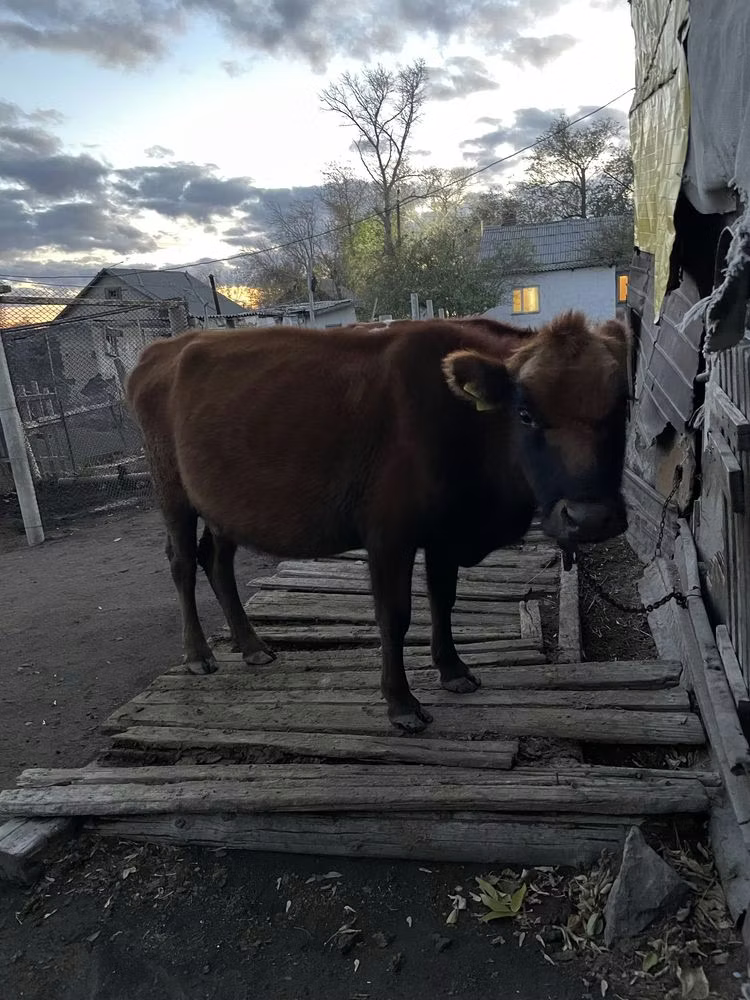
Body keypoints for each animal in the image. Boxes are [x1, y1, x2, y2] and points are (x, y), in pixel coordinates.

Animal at [126, 311, 630, 733]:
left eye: (621, 408)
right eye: (525, 413)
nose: (589, 517)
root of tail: (162, 349)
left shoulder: (444, 534)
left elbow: (443, 601)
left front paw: (453, 670)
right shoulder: (389, 534)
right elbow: (395, 616)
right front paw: (401, 703)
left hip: (223, 504)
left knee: (217, 560)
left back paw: (251, 646)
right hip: (171, 489)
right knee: (182, 562)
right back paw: (198, 654)